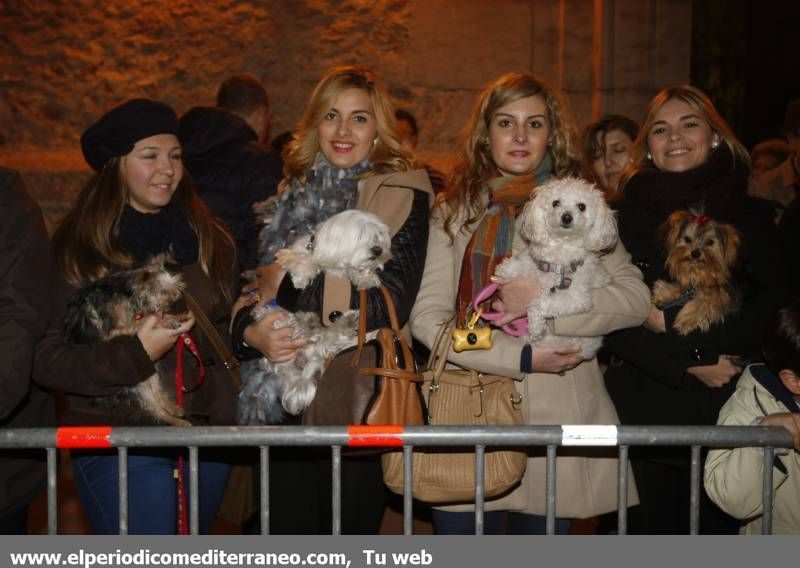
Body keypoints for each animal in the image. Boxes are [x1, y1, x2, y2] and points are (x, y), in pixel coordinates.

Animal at [236, 211, 392, 424]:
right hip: (275, 317)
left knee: (326, 339)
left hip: (315, 345)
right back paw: (308, 320)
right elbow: (303, 262)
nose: (378, 250)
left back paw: (333, 323)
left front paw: (365, 277)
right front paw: (301, 274)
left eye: (379, 236)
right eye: (361, 235)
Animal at [494, 176, 620, 360]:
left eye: (582, 206)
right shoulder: (540, 263)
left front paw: (536, 325)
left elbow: (540, 303)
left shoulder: (577, 299)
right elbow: (526, 263)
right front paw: (507, 268)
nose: (566, 217)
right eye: (556, 203)